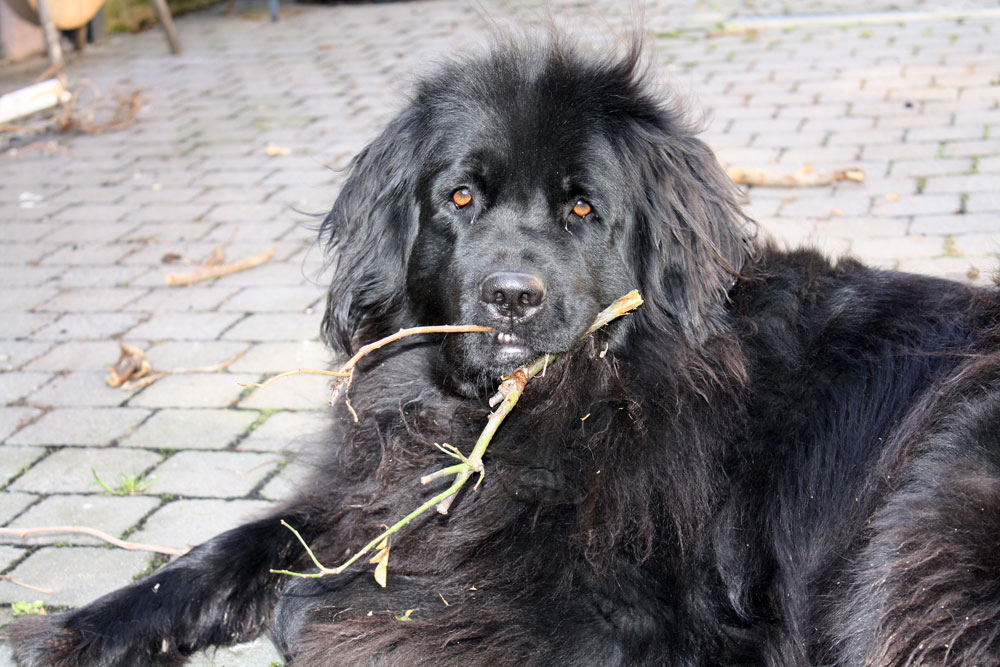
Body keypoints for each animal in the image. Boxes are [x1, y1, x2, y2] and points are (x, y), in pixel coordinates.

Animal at [9, 37, 1000, 667]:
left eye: (583, 207)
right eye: (460, 198)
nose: (512, 296)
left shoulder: (649, 616)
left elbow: (337, 603)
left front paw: (333, 618)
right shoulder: (367, 491)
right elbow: (232, 548)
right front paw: (67, 631)